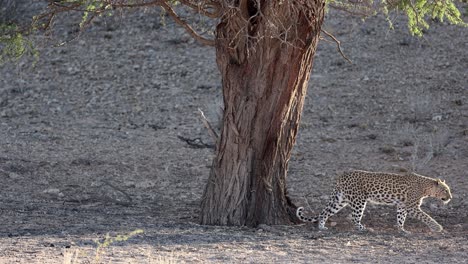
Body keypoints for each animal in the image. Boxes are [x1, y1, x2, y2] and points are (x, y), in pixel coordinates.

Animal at [296, 170, 454, 232]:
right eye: (446, 190)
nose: (451, 197)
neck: (426, 188)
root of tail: (342, 175)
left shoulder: (402, 206)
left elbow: (400, 218)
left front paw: (402, 230)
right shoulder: (411, 207)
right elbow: (426, 217)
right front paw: (437, 227)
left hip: (340, 199)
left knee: (325, 213)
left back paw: (321, 227)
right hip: (359, 200)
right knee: (355, 217)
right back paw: (363, 228)